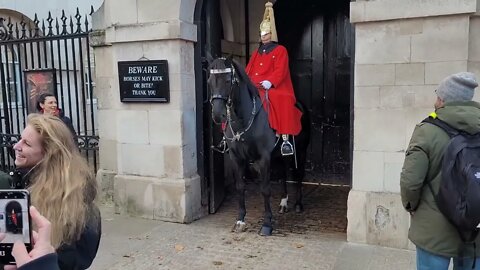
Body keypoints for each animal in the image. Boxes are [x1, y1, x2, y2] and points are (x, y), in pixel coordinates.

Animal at [208, 57, 310, 236]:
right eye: (209, 81)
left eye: (227, 80)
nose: (217, 115)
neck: (243, 120)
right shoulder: (237, 158)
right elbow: (240, 187)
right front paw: (240, 220)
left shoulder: (263, 158)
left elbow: (265, 189)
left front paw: (267, 224)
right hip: (279, 156)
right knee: (283, 175)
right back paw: (283, 203)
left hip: (301, 151)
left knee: (298, 175)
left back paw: (298, 204)